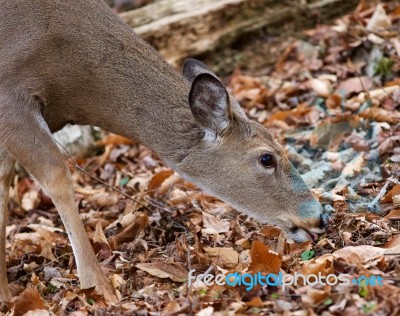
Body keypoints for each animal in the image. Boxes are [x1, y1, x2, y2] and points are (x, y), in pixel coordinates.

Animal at [0, 0, 328, 302]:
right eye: (266, 158)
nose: (320, 217)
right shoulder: (11, 98)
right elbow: (57, 179)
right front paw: (100, 287)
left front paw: (5, 292)